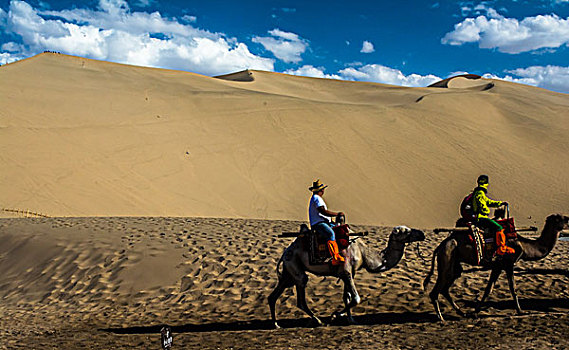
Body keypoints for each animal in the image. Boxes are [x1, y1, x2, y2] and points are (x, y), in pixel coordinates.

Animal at [268, 224, 424, 328]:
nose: (422, 233)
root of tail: (285, 252)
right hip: (295, 266)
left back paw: (276, 324)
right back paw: (318, 321)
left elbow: (347, 297)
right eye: (406, 230)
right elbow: (356, 298)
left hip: (288, 273)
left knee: (273, 296)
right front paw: (335, 316)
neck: (363, 252)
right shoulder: (346, 271)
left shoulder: (348, 274)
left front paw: (351, 320)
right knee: (301, 294)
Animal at [424, 212, 564, 322]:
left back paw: (461, 313)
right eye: (560, 218)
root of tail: (439, 246)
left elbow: (489, 289)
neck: (524, 246)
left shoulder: (498, 265)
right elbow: (512, 288)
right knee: (436, 290)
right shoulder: (508, 263)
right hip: (446, 257)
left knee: (446, 286)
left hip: (454, 263)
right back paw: (441, 317)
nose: (567, 219)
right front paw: (521, 311)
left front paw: (475, 312)